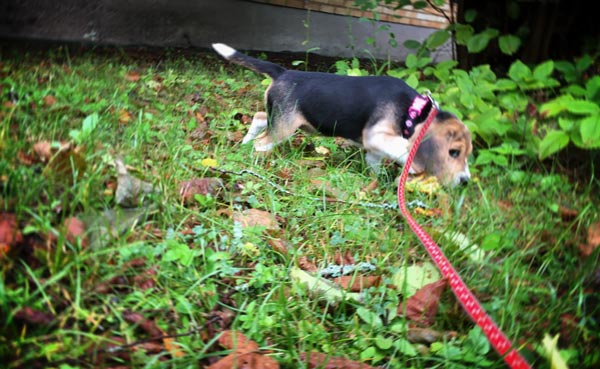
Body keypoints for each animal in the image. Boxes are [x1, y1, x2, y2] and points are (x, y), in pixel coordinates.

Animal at [213, 43, 472, 187]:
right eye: (453, 152)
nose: (465, 182)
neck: (412, 110)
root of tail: (283, 72)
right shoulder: (376, 135)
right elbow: (402, 147)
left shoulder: (374, 149)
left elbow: (375, 162)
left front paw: (378, 181)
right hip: (284, 126)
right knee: (263, 142)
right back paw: (257, 158)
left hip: (279, 118)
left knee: (258, 118)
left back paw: (244, 144)